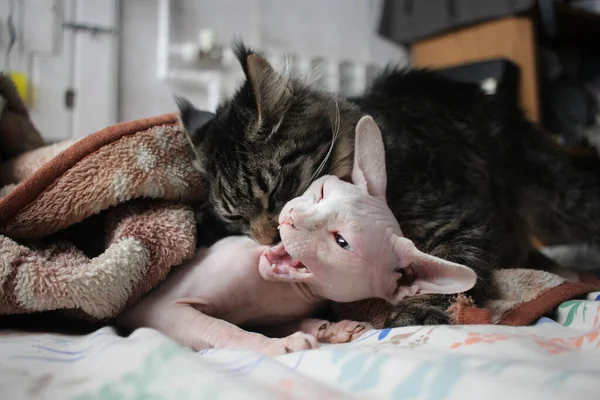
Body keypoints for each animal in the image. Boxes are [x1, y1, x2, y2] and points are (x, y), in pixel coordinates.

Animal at [117, 115, 476, 356]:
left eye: (342, 242)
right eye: (321, 191)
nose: (289, 218)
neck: (283, 291)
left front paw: (327, 328)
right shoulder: (158, 308)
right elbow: (222, 328)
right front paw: (278, 345)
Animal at [176, 43, 600, 324]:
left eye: (279, 192)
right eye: (236, 218)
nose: (270, 238)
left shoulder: (457, 215)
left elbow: (455, 270)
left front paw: (421, 309)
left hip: (558, 196)